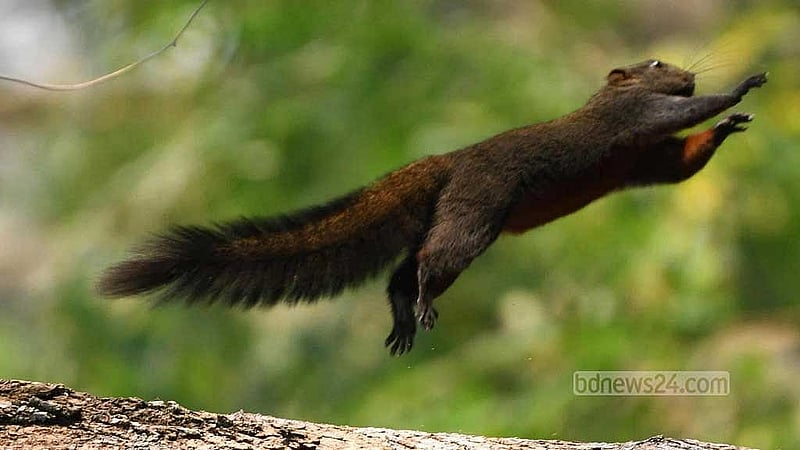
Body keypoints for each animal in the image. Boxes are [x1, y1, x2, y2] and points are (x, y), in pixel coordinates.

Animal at [98, 59, 767, 355]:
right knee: (427, 263)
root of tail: (446, 162)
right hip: (475, 214)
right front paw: (738, 89)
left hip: (464, 219)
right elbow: (680, 118)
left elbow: (681, 165)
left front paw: (729, 126)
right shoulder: (634, 119)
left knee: (404, 268)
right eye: (656, 65)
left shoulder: (643, 159)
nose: (686, 73)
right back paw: (417, 306)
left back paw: (401, 317)